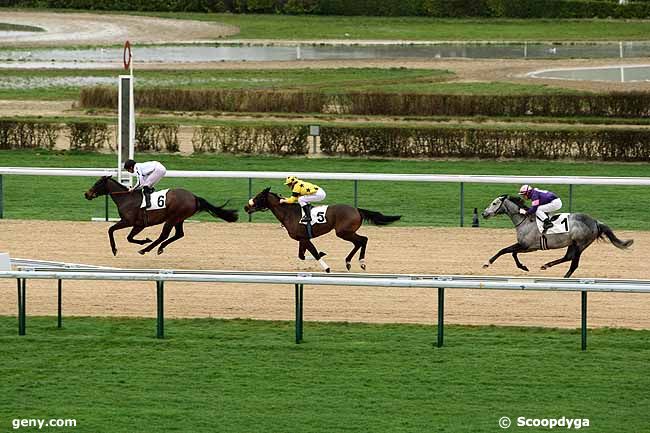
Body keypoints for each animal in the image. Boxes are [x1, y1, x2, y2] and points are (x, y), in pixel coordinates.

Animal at [84, 176, 238, 255]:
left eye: (97, 183)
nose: (87, 194)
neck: (126, 198)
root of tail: (194, 197)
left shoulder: (129, 221)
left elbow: (111, 230)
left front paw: (115, 249)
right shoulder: (139, 224)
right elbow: (129, 237)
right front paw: (144, 240)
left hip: (172, 218)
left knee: (164, 235)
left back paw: (146, 249)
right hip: (179, 219)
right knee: (179, 234)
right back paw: (158, 248)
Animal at [244, 186, 400, 274]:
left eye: (258, 197)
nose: (246, 207)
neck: (289, 213)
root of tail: (357, 210)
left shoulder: (304, 238)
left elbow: (314, 253)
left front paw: (326, 267)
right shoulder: (302, 239)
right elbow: (302, 255)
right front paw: (322, 253)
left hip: (342, 232)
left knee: (363, 240)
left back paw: (360, 262)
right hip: (346, 232)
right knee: (360, 242)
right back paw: (349, 262)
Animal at [478, 193, 632, 276]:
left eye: (494, 203)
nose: (484, 213)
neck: (525, 220)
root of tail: (595, 221)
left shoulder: (528, 246)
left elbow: (505, 250)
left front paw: (487, 263)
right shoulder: (527, 246)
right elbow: (511, 252)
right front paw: (523, 266)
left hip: (580, 244)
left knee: (574, 263)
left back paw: (563, 277)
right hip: (573, 243)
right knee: (568, 257)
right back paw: (546, 265)